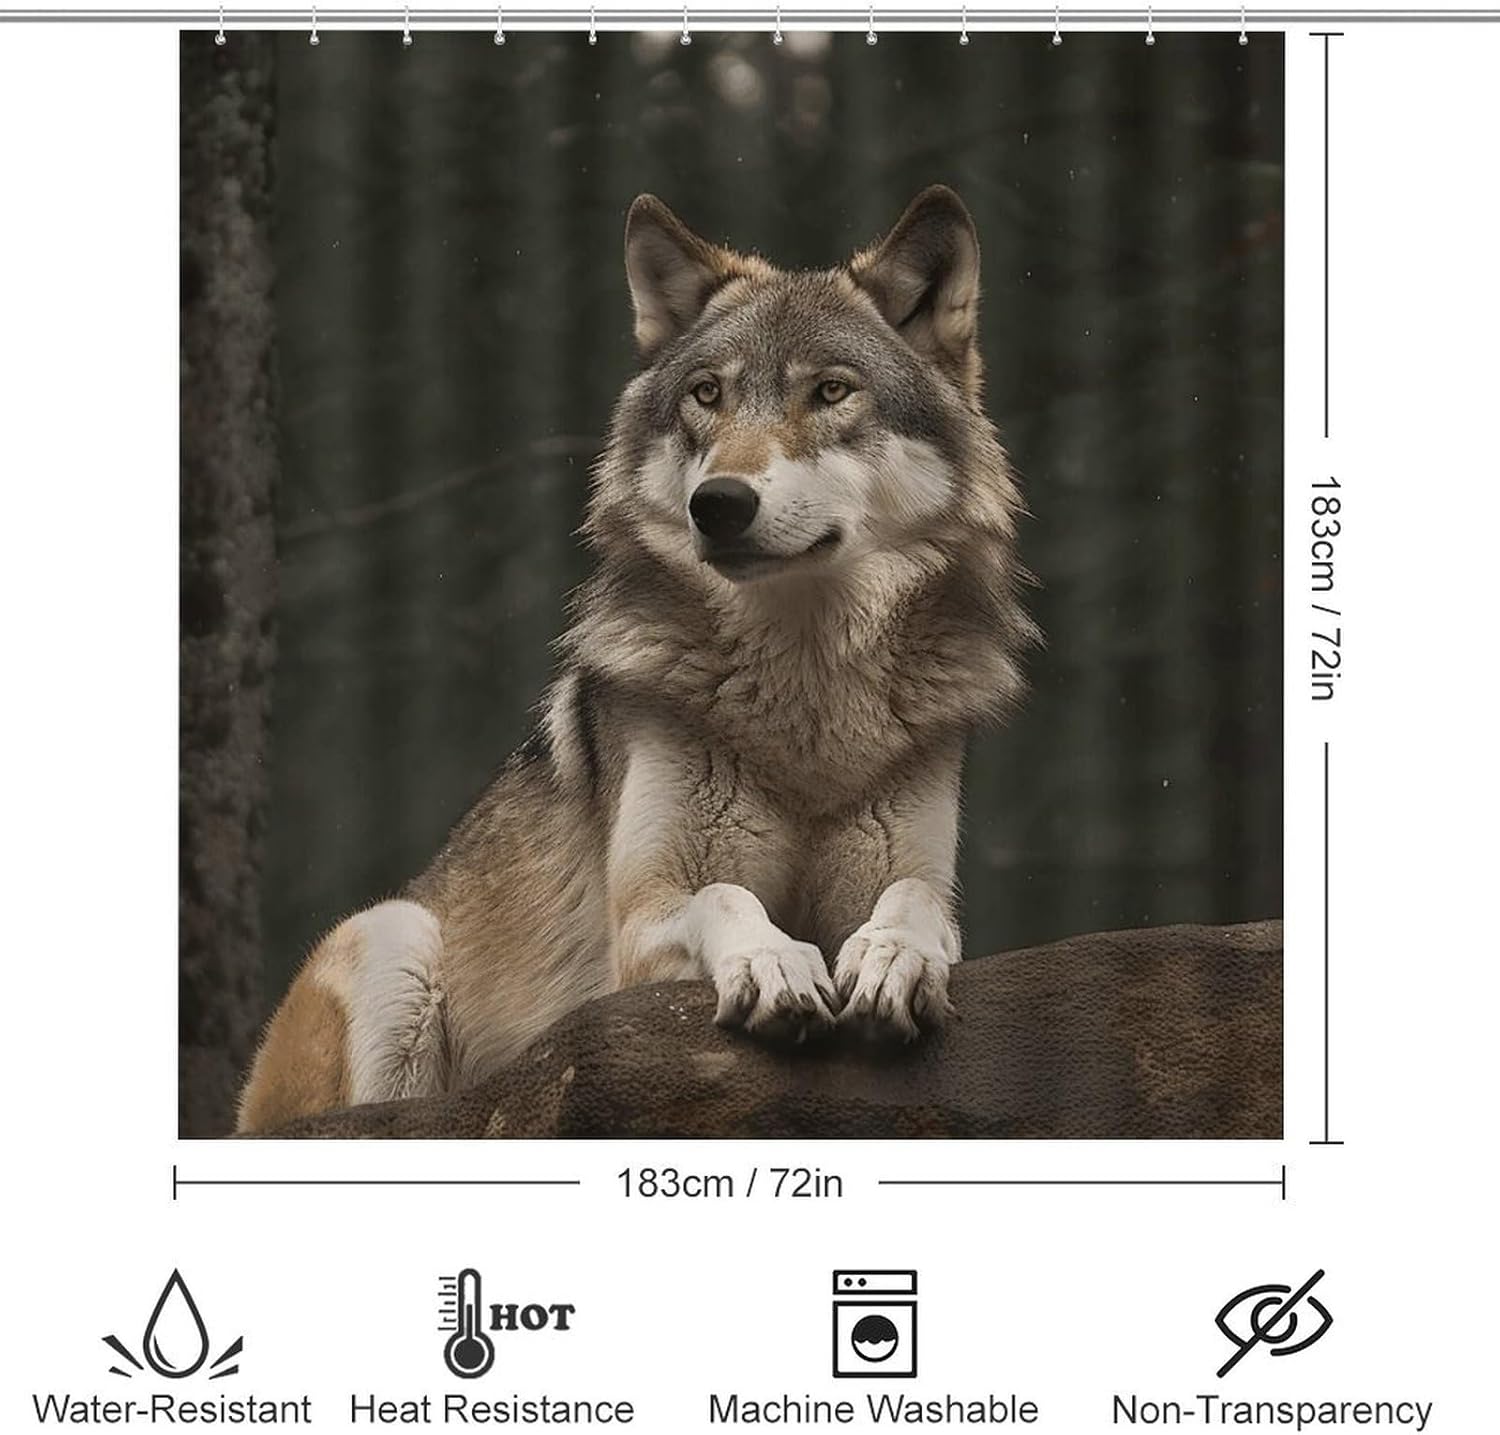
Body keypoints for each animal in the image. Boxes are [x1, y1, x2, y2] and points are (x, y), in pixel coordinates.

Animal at [236, 185, 1037, 1134]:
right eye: (706, 393)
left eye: (832, 391)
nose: (719, 502)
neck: (803, 708)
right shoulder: (641, 929)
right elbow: (727, 898)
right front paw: (773, 962)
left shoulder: (916, 879)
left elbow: (917, 909)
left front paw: (890, 958)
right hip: (395, 937)